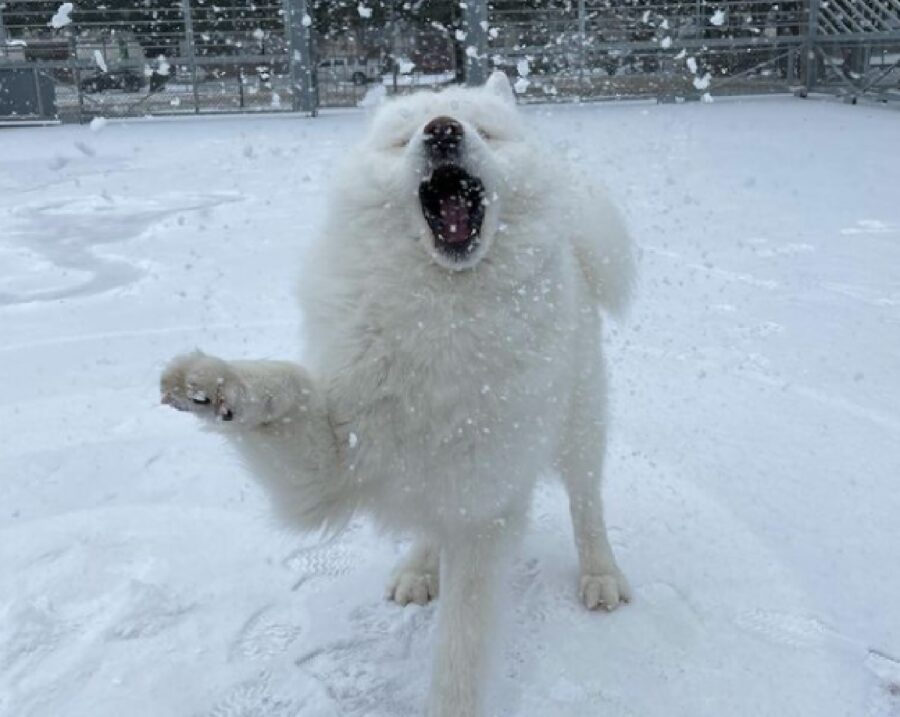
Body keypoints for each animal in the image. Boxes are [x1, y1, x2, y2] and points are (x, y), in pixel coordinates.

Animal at [163, 72, 640, 716]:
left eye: (484, 129)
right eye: (403, 137)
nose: (442, 129)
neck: (441, 314)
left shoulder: (482, 510)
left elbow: (461, 651)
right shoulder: (333, 462)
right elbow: (289, 383)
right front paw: (210, 383)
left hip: (580, 425)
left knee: (586, 504)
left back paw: (600, 575)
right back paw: (418, 568)